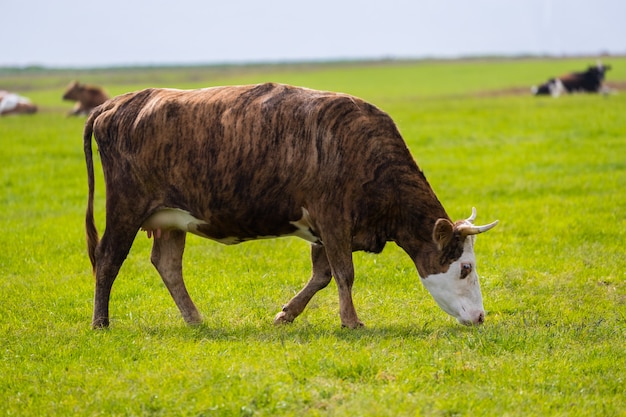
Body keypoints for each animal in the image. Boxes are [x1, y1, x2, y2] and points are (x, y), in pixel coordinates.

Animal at [83, 82, 498, 328]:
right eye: (465, 268)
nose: (480, 316)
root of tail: (119, 103)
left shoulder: (322, 229)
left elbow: (323, 275)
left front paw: (287, 312)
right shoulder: (332, 218)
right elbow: (344, 273)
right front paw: (351, 322)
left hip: (171, 220)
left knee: (167, 265)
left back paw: (195, 319)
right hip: (125, 207)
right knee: (108, 259)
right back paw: (101, 322)